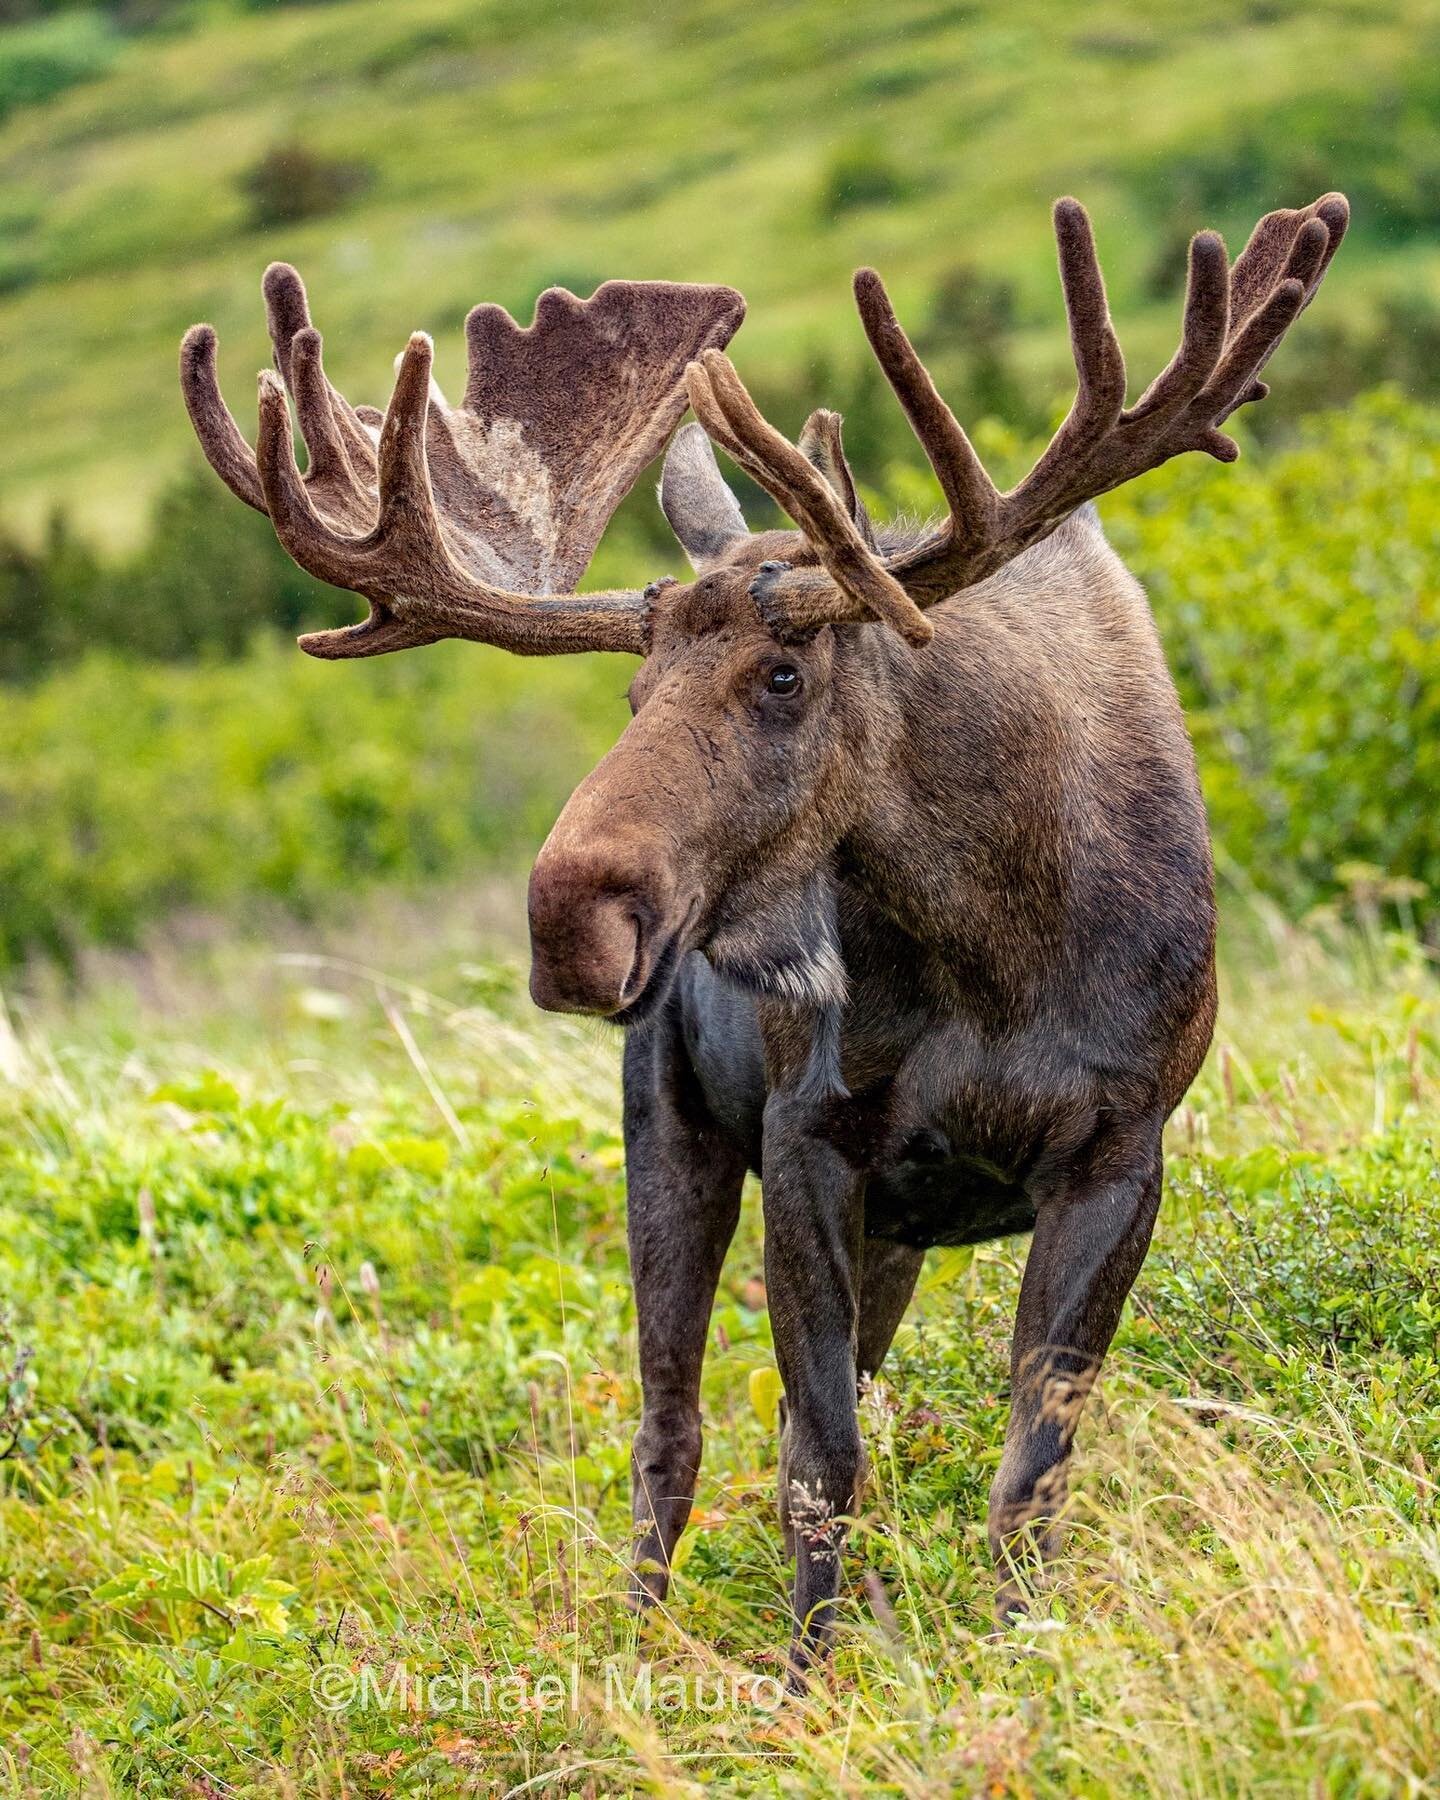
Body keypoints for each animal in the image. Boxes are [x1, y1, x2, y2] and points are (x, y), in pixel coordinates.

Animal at [182, 189, 1353, 1677]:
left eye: (784, 674)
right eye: (632, 691)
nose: (567, 915)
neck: (999, 942)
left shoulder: (1119, 1152)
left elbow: (1029, 1467)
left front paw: (1021, 1649)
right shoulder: (809, 1141)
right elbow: (818, 1456)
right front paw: (808, 1681)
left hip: (898, 1224)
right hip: (672, 1132)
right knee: (668, 1428)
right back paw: (637, 1644)